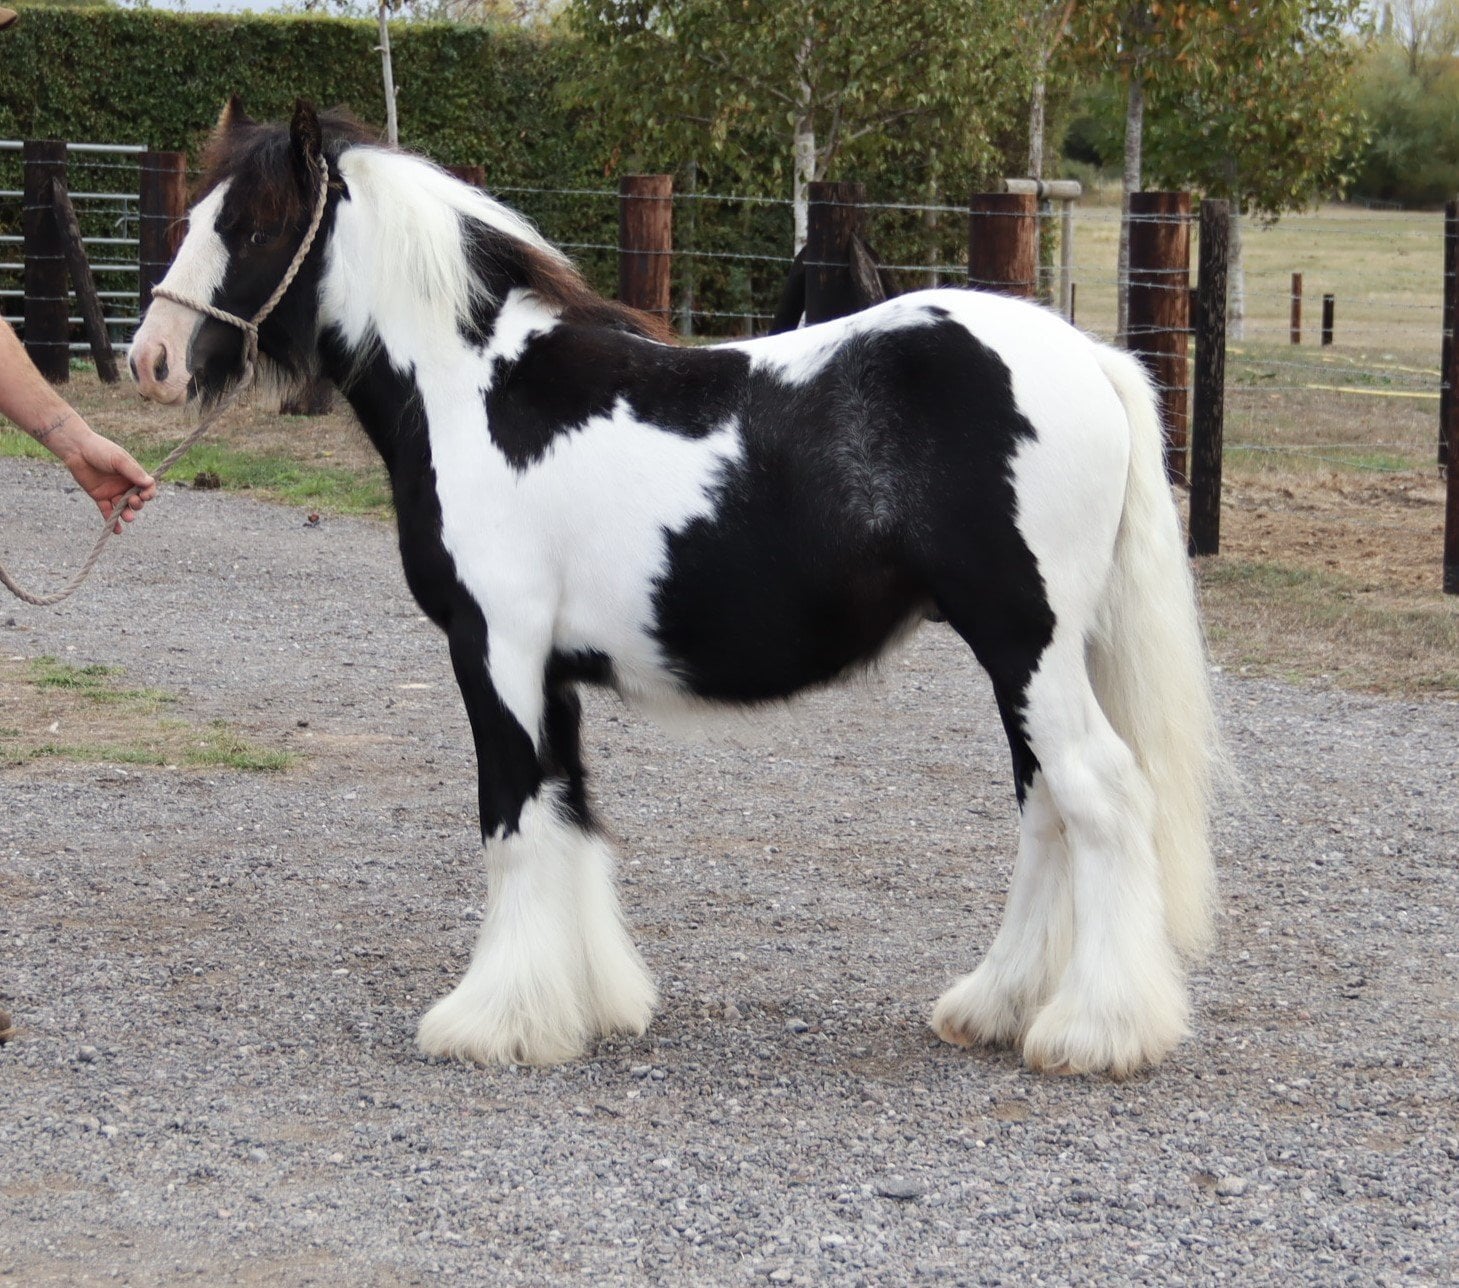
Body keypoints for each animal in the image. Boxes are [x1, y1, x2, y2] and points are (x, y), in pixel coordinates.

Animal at [131, 100, 1221, 1078]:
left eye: (250, 226)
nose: (152, 360)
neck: (479, 391)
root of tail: (1087, 357)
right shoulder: (550, 671)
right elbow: (567, 813)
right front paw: (580, 1007)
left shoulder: (494, 649)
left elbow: (512, 818)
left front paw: (491, 1022)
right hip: (1023, 658)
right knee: (1046, 805)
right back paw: (996, 1007)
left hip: (1024, 642)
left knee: (1099, 794)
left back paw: (1096, 1032)